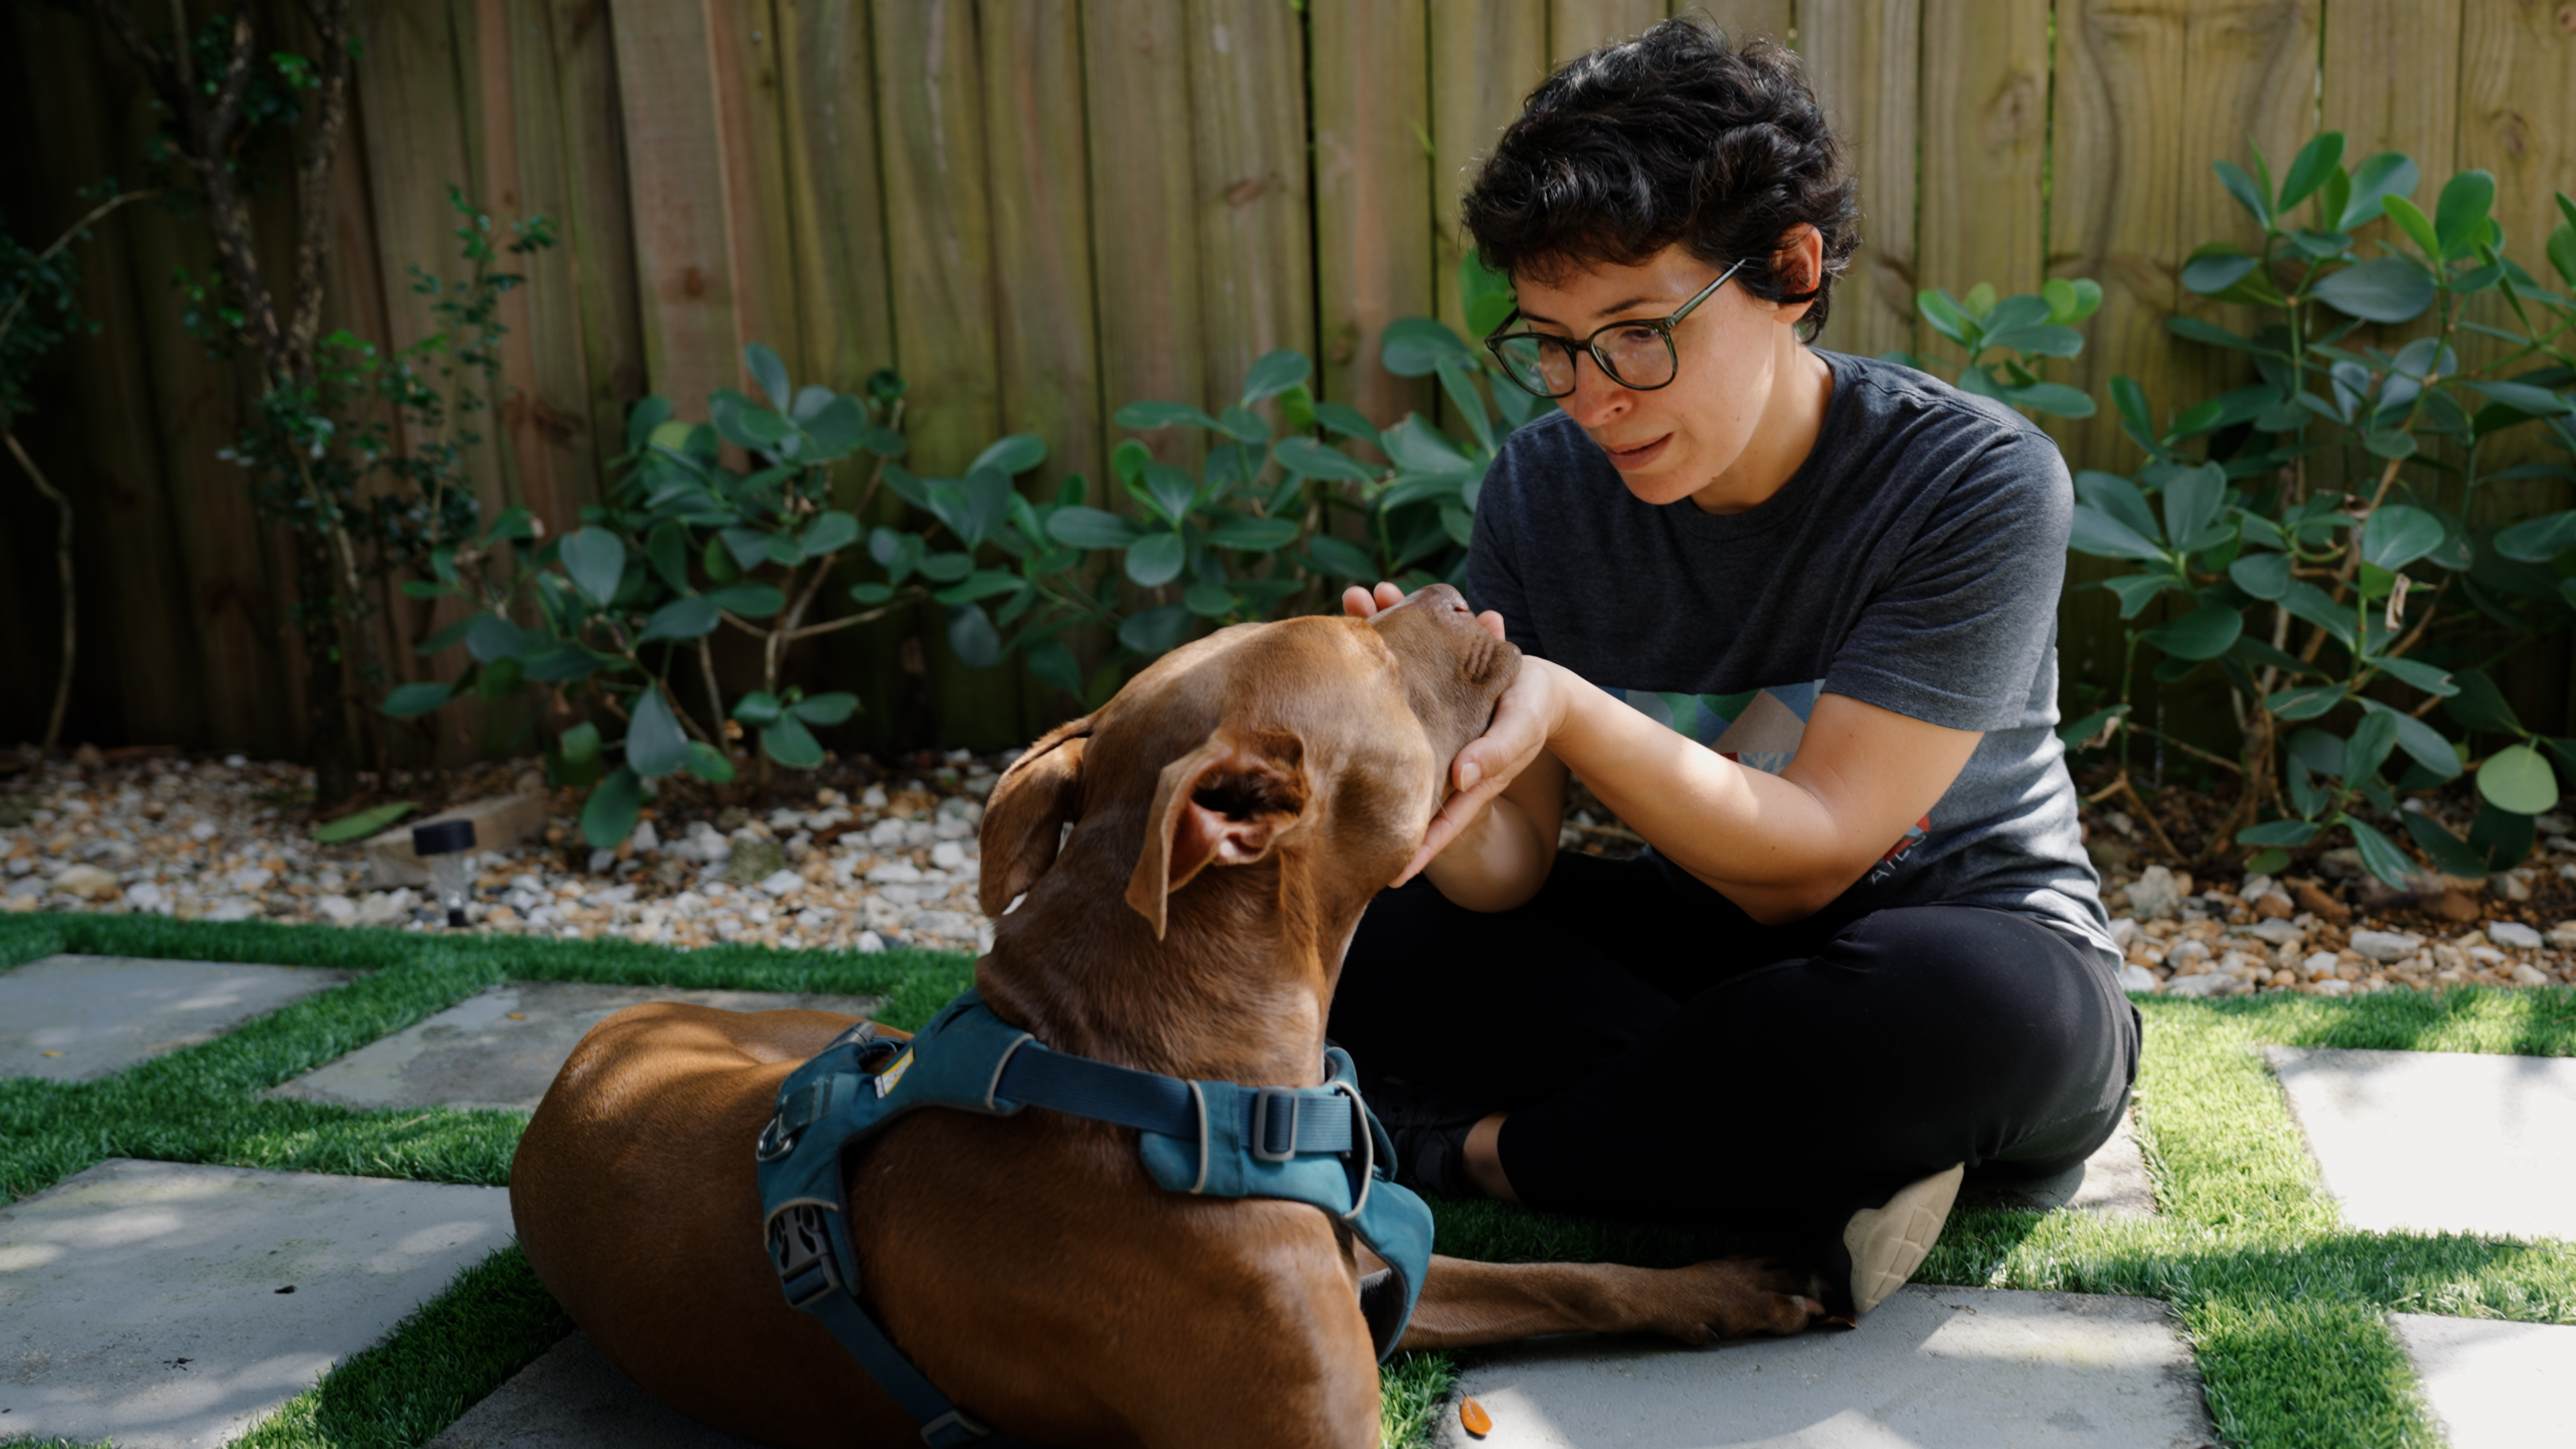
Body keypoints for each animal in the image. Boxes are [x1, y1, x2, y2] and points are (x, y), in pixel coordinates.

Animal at [513, 588, 1823, 1444]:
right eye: (1361, 644)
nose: (1455, 589)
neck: (1172, 1075)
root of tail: (591, 1044)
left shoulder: (1379, 1272)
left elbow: (1569, 1274)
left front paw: (1728, 1283)